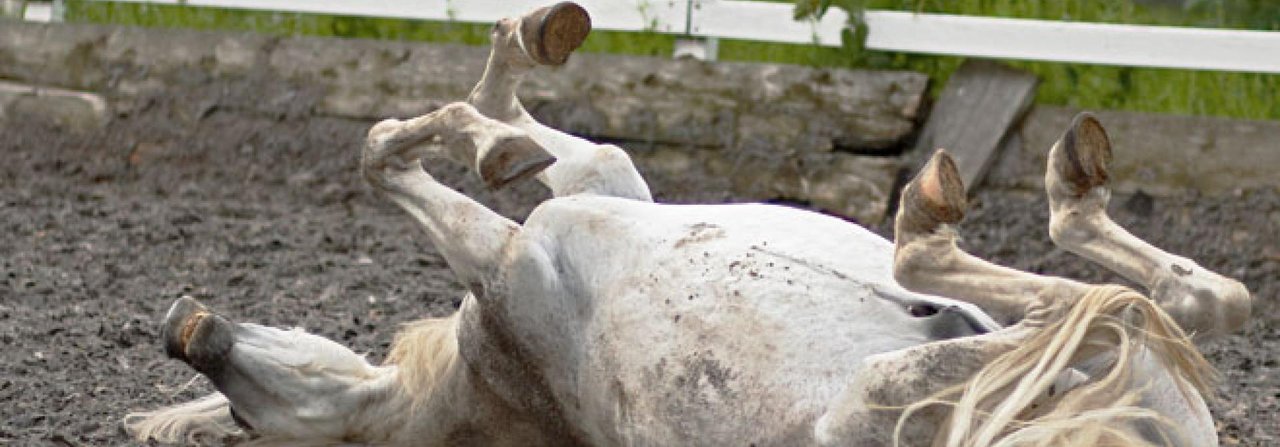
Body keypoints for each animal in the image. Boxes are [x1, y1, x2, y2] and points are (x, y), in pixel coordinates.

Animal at [127, 2, 1249, 443]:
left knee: (1180, 303)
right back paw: (948, 226)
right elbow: (381, 152)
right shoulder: (509, 259)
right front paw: (483, 131)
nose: (186, 327)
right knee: (1114, 309)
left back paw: (1065, 187)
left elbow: (499, 135)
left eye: (245, 415)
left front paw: (506, 92)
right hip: (875, 403)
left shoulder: (604, 191)